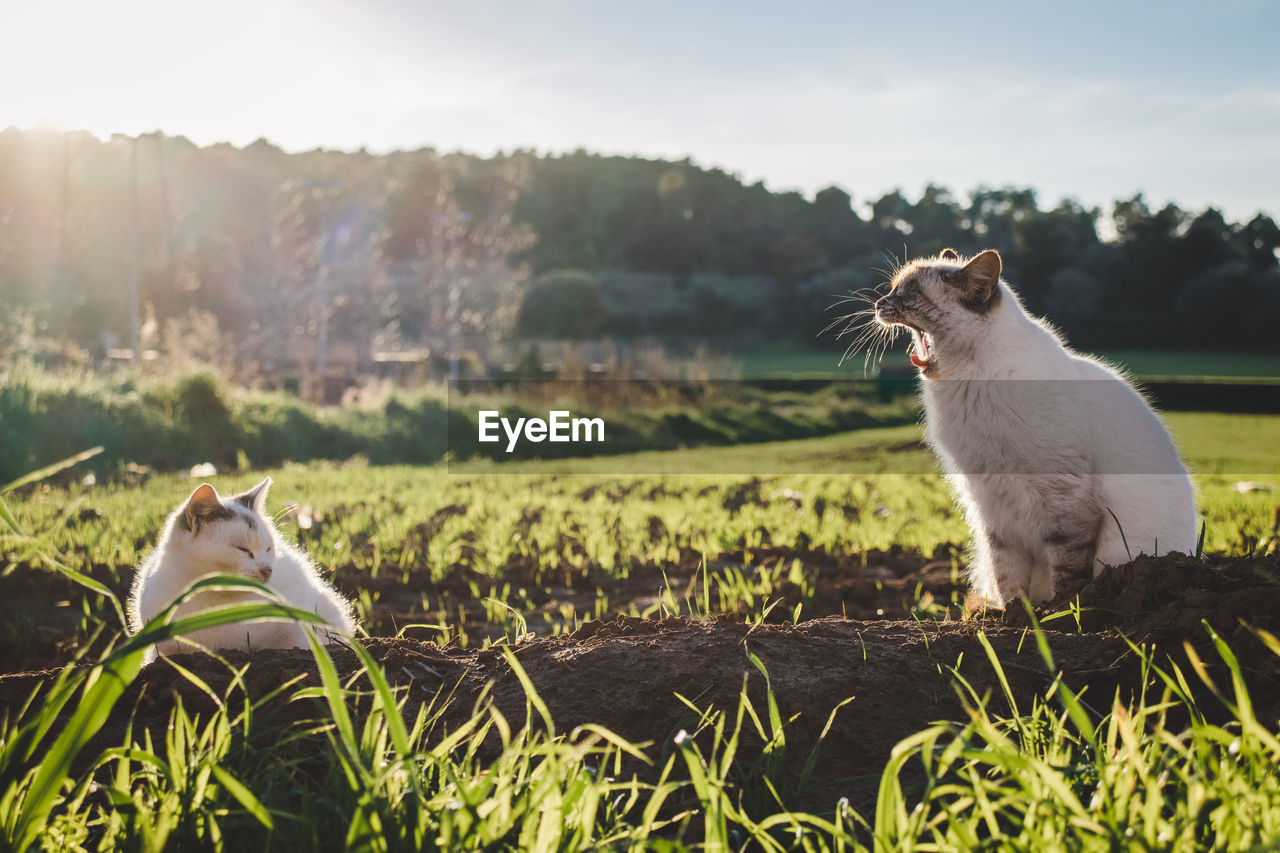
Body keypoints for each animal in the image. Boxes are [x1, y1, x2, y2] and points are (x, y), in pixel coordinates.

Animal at [875, 245, 1192, 604]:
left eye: (908, 292)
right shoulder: (991, 505)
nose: (879, 303)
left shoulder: (1063, 500)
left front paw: (1058, 609)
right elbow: (1008, 578)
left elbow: (1066, 572)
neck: (969, 382)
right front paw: (1013, 612)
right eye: (894, 288)